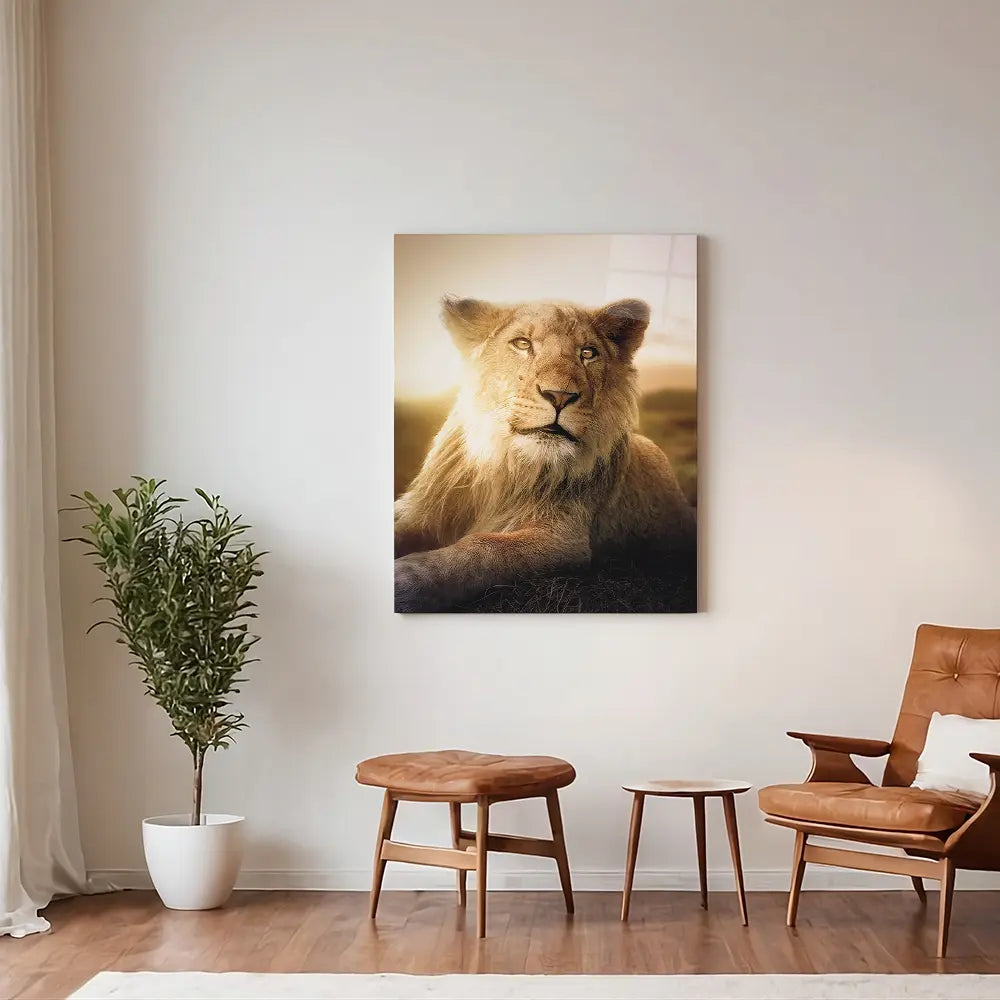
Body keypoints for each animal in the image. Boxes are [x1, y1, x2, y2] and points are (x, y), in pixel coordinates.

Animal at [394, 296, 696, 612]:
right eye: (522, 343)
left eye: (588, 353)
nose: (560, 396)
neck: (507, 465)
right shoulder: (425, 510)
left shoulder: (564, 539)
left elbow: (487, 548)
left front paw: (405, 579)